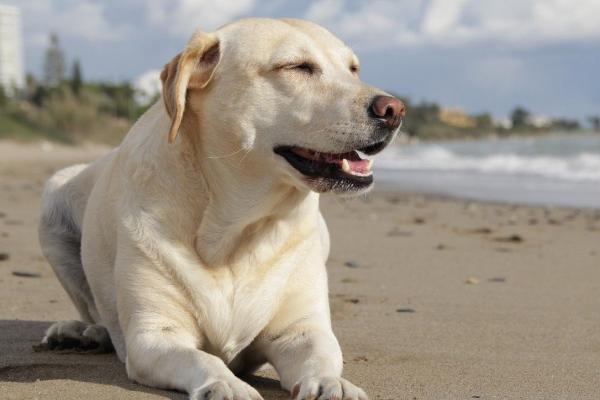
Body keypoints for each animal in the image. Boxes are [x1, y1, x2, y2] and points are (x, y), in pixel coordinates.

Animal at [37, 18, 404, 400]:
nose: (394, 109)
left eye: (353, 69)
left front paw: (334, 383)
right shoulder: (154, 335)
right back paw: (82, 333)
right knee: (95, 313)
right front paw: (227, 383)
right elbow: (203, 359)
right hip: (53, 199)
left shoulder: (300, 329)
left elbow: (322, 354)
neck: (237, 231)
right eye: (297, 67)